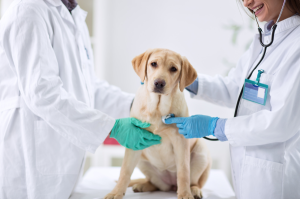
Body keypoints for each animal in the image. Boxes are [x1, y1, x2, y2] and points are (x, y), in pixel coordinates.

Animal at [104, 48, 210, 199]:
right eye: (153, 64)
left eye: (173, 69)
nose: (159, 83)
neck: (157, 108)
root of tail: (172, 184)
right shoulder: (134, 140)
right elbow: (124, 170)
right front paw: (116, 192)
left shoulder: (181, 142)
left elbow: (184, 172)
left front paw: (185, 194)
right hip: (142, 160)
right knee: (156, 184)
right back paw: (143, 185)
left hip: (201, 151)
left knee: (193, 181)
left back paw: (193, 190)